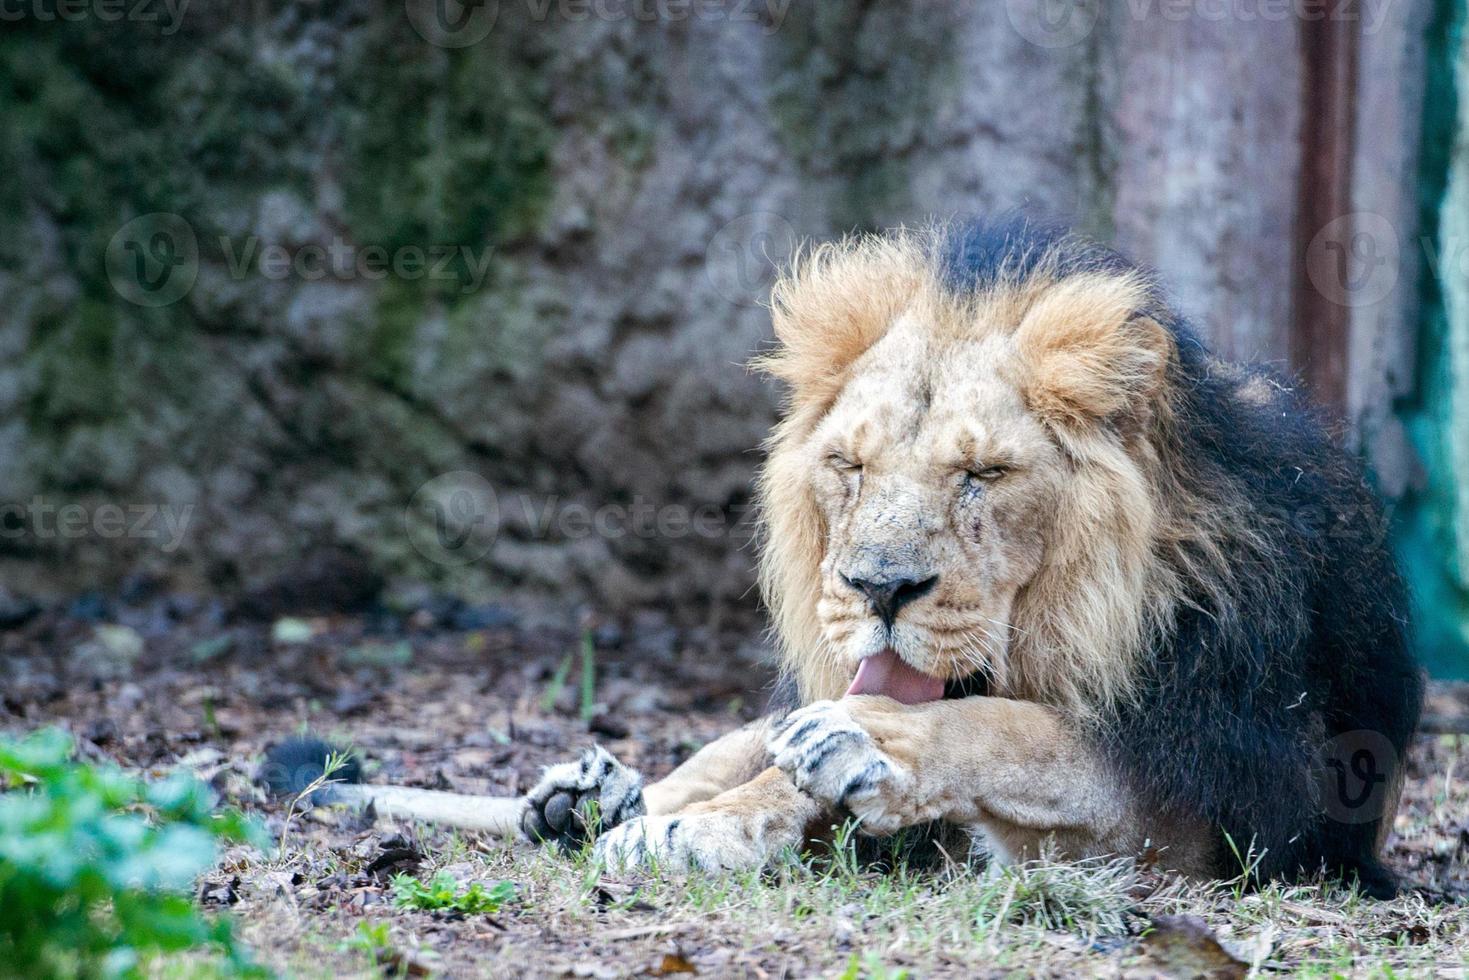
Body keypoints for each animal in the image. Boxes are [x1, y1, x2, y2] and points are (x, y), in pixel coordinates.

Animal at [273, 218, 1421, 899]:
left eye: (982, 474)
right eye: (848, 465)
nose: (877, 588)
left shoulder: (1224, 808)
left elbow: (1016, 731)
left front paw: (874, 743)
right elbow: (788, 762)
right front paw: (697, 820)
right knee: (724, 748)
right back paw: (592, 797)